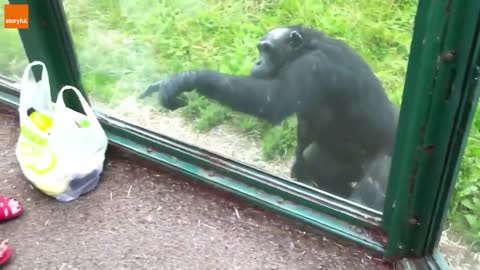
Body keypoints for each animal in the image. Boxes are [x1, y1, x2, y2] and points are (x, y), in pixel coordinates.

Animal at [141, 25, 400, 202]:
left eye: (266, 49)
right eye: (260, 49)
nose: (257, 62)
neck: (305, 48)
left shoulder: (314, 65)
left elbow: (272, 100)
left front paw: (186, 79)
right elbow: (304, 133)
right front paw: (298, 171)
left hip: (385, 164)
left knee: (372, 189)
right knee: (316, 159)